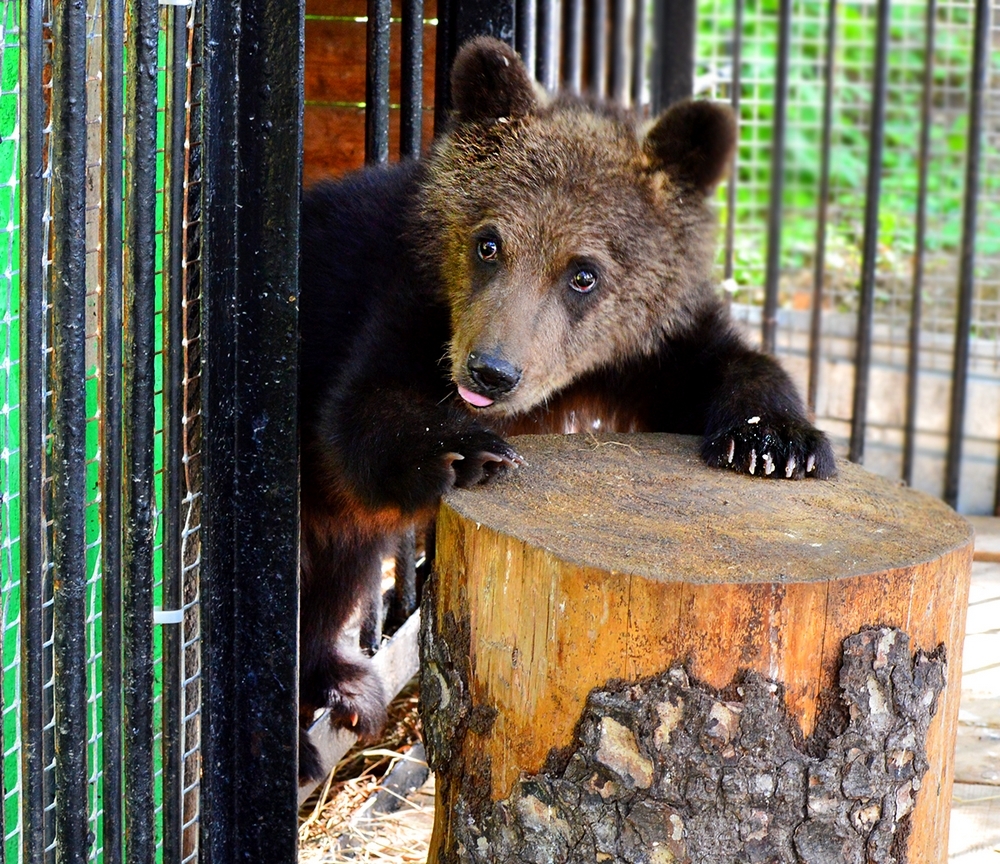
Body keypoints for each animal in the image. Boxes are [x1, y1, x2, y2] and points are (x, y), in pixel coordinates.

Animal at [296, 37, 836, 784]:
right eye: (488, 242)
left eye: (584, 272)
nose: (490, 373)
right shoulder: (401, 303)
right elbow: (361, 417)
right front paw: (466, 448)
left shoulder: (644, 351)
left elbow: (726, 364)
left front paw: (774, 442)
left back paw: (342, 685)